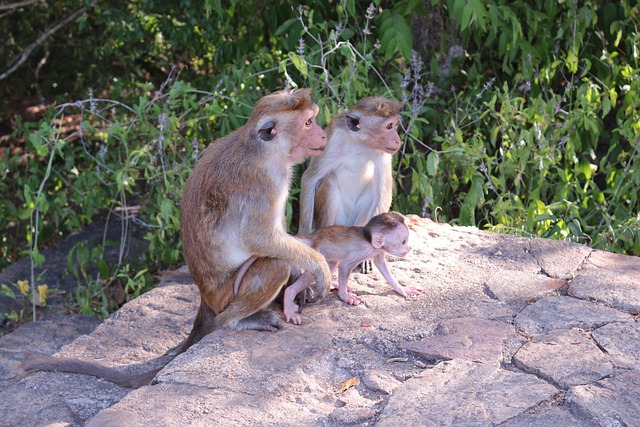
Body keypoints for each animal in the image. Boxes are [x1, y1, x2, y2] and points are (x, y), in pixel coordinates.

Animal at [20, 89, 332, 388]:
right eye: (308, 123)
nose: (324, 135)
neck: (262, 148)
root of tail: (206, 299)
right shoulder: (265, 183)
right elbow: (261, 238)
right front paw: (319, 267)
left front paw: (302, 279)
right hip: (227, 295)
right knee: (272, 265)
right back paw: (240, 320)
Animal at [233, 212, 422, 325]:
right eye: (403, 241)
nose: (409, 248)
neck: (369, 242)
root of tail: (314, 236)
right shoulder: (359, 252)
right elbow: (345, 267)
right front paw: (345, 297)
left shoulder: (378, 252)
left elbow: (382, 267)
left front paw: (402, 290)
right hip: (316, 252)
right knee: (321, 269)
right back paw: (290, 297)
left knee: (331, 266)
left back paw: (332, 284)